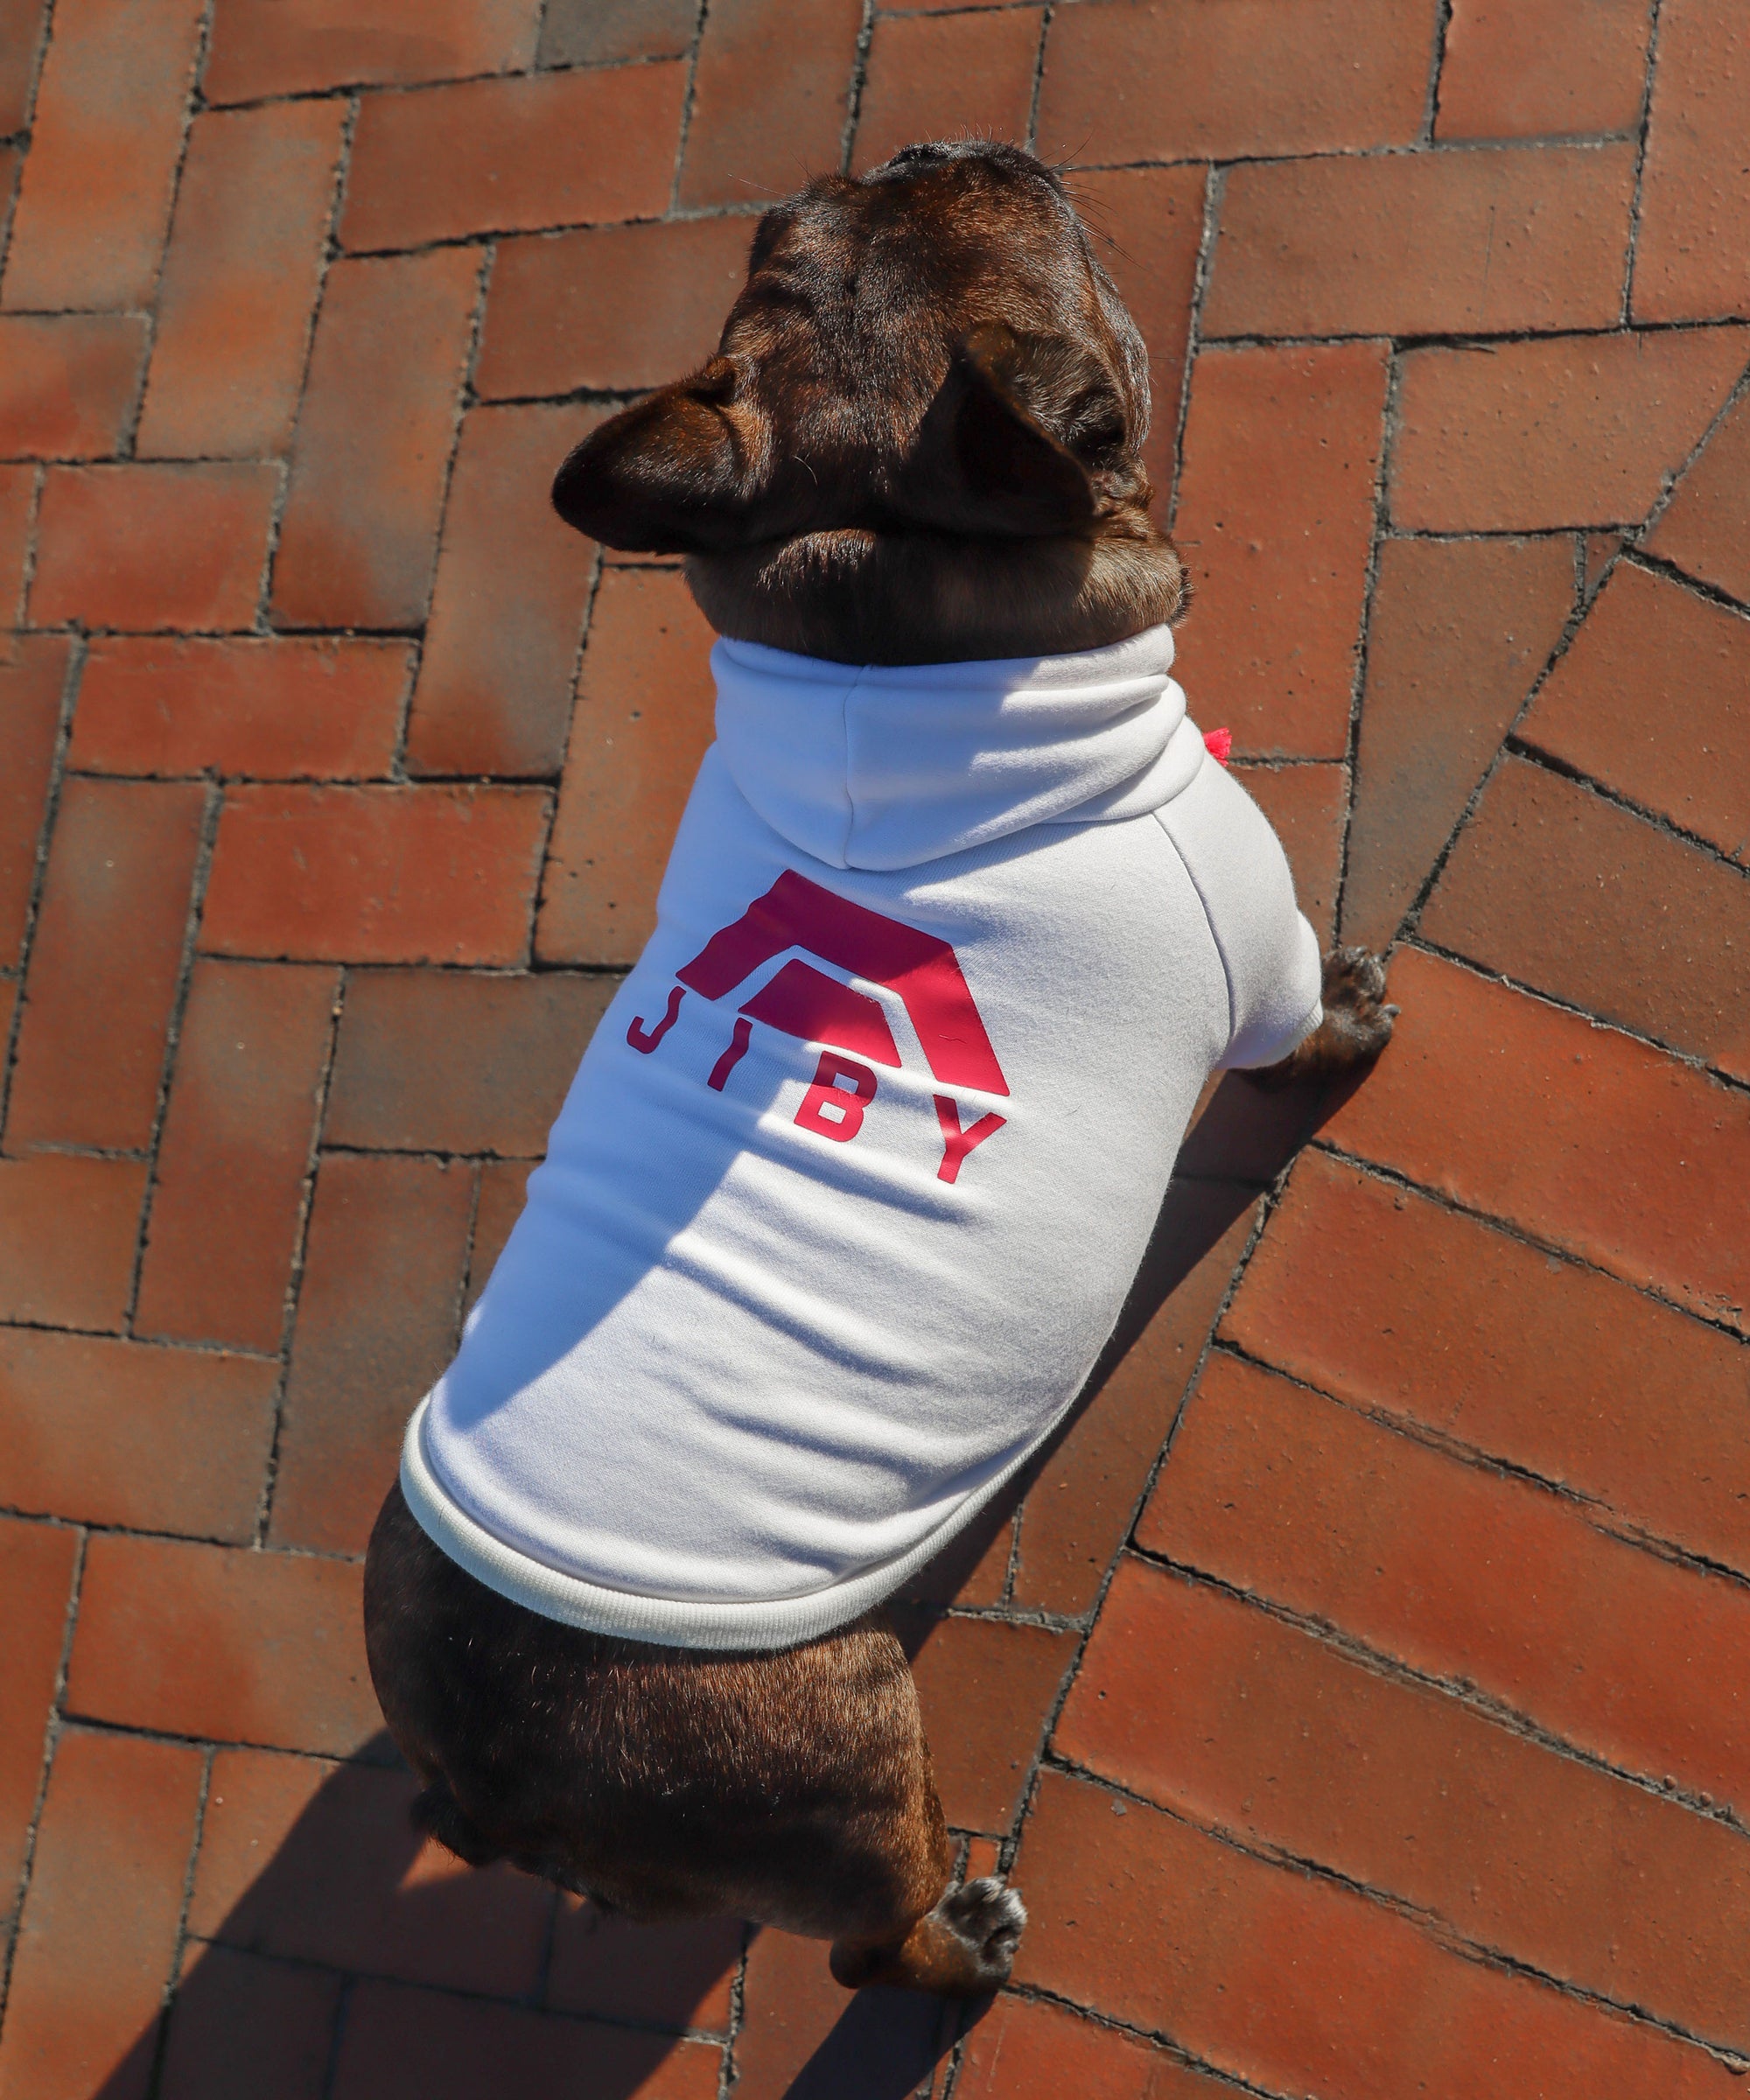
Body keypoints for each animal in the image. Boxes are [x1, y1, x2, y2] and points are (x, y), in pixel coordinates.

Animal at [359, 139, 1395, 1991]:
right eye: (1092, 351)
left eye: (794, 227)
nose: (943, 140)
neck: (888, 652)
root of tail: (485, 1779)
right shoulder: (1249, 940)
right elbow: (1302, 1029)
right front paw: (1353, 1026)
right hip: (849, 1770)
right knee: (871, 1939)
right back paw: (960, 1942)